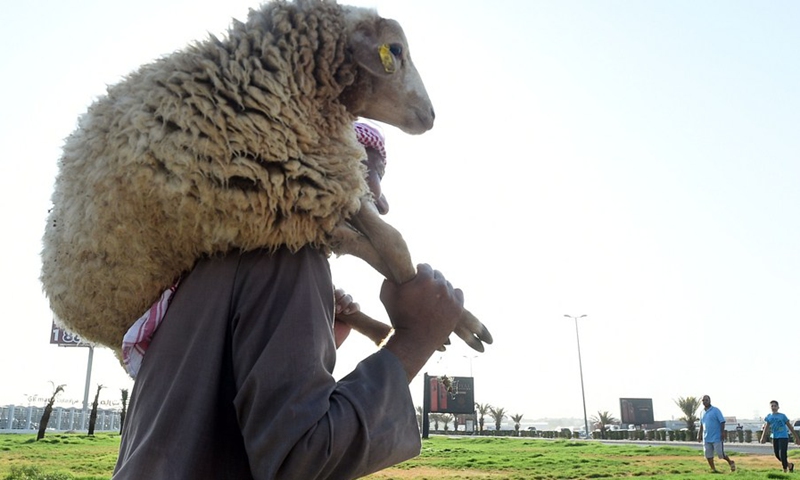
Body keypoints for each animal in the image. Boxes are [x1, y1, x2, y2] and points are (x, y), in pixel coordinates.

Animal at [41, 0, 492, 358]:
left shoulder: (319, 181)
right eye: (395, 50)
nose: (431, 117)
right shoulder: (284, 199)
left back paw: (373, 326)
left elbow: (389, 242)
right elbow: (391, 250)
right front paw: (439, 312)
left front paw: (462, 321)